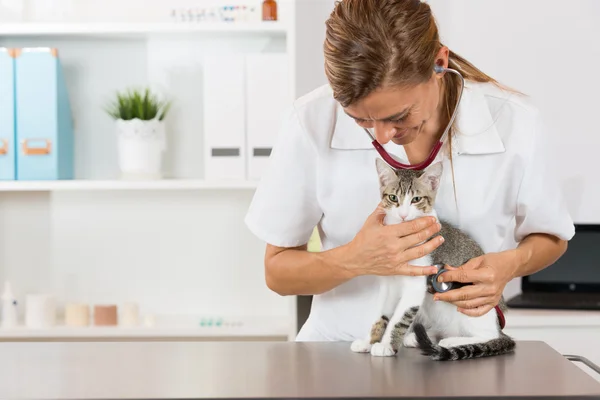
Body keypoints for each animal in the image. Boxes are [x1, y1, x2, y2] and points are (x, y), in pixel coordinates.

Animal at [352, 158, 516, 360]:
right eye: (393, 198)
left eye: (416, 199)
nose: (403, 215)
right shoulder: (388, 285)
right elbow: (381, 315)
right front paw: (369, 341)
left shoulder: (415, 286)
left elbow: (399, 318)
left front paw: (386, 345)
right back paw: (419, 337)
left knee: (489, 335)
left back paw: (452, 341)